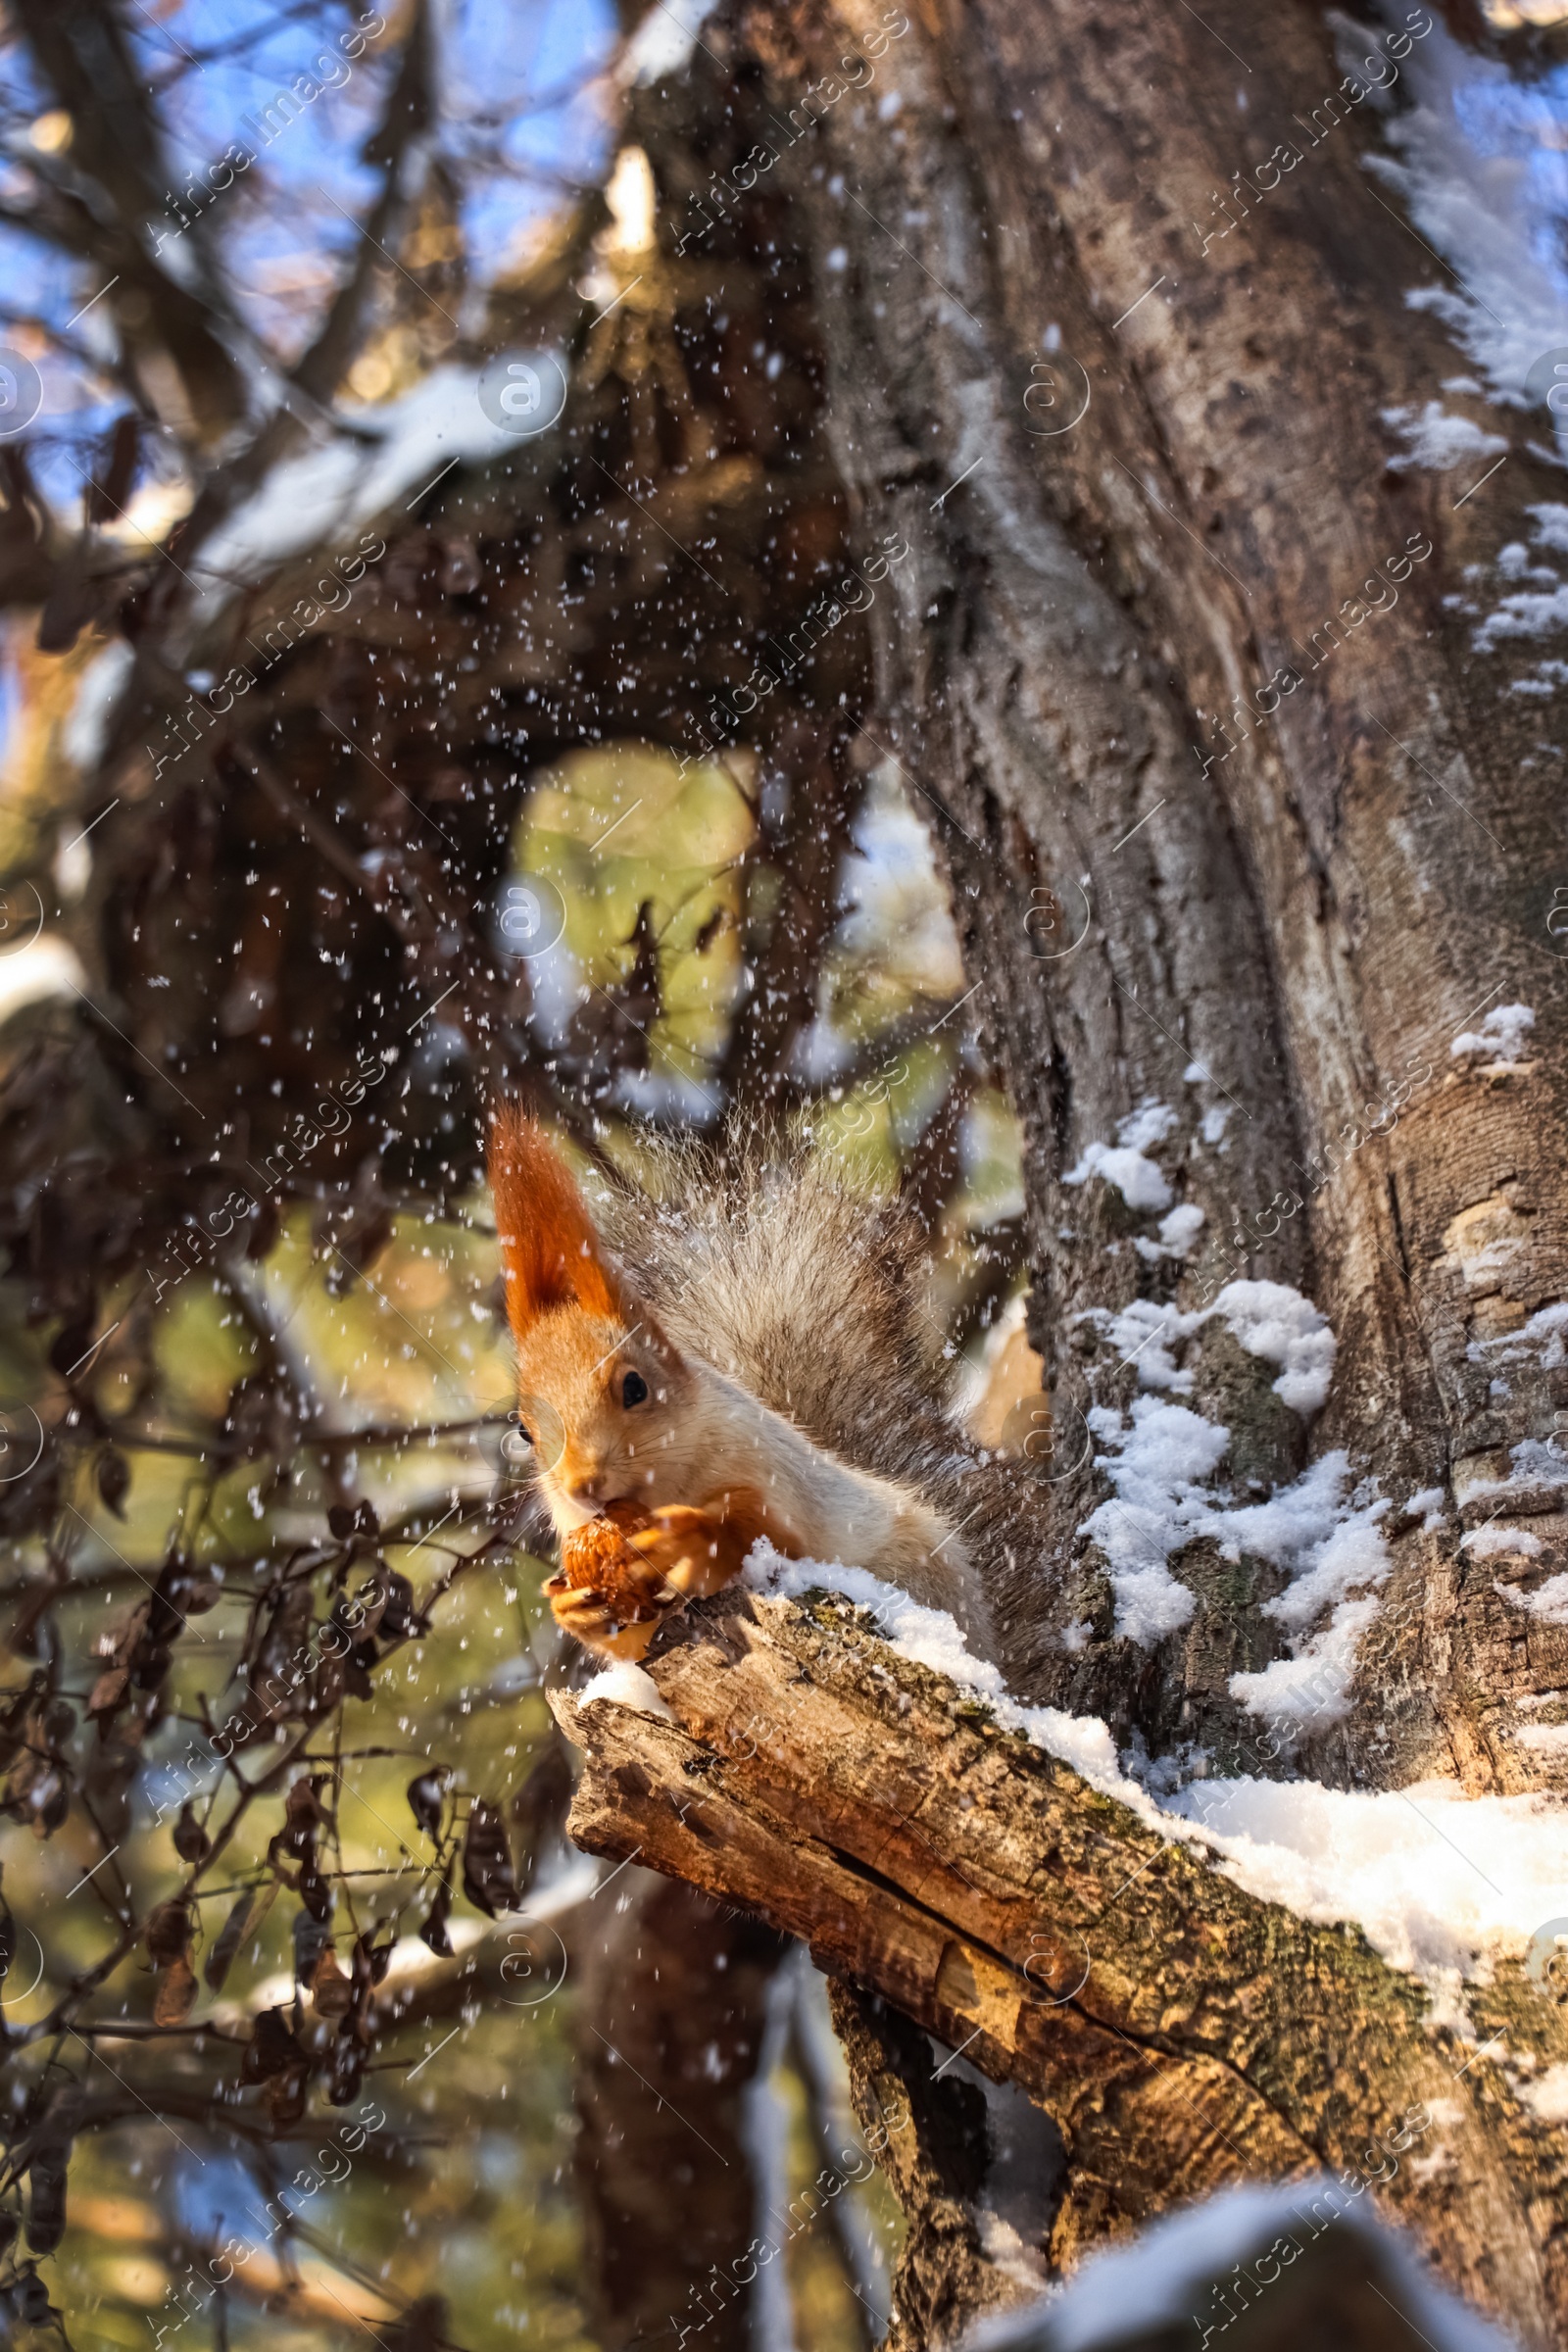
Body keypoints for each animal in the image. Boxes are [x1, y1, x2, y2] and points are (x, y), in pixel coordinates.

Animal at [487, 1109, 1039, 1667]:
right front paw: (576, 1607)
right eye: (525, 1433)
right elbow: (634, 1644)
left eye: (635, 1387)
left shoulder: (772, 1470)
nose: (582, 1485)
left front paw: (693, 1542)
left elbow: (775, 1539)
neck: (665, 1488)